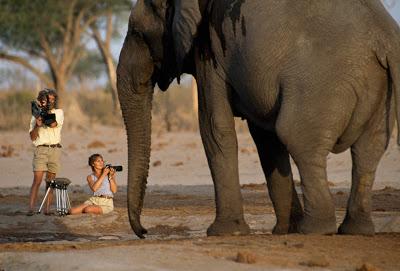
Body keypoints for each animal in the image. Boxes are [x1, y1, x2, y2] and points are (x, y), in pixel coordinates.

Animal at [115, 0, 400, 239]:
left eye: (137, 33)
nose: (144, 232)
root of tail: (386, 39)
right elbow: (266, 142)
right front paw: (283, 230)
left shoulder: (210, 50)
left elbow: (214, 129)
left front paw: (225, 233)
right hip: (378, 89)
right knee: (368, 152)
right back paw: (355, 230)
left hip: (321, 84)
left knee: (300, 141)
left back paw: (315, 229)